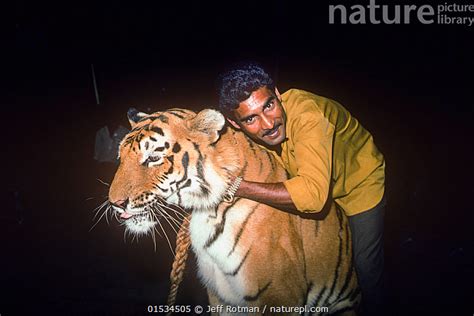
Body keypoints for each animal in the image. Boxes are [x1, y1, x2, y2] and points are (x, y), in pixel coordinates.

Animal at [107, 108, 360, 314]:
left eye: (153, 158)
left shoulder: (280, 293)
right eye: (120, 157)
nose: (115, 202)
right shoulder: (220, 294)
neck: (206, 213)